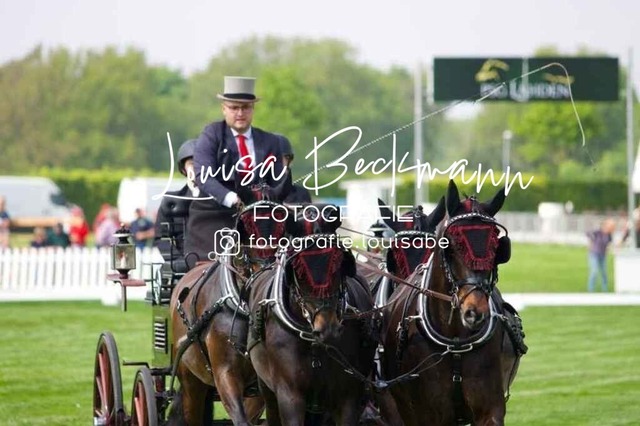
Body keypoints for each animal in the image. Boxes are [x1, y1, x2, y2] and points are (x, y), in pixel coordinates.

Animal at [246, 208, 378, 425]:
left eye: (338, 264)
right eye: (298, 269)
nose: (328, 329)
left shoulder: (347, 396)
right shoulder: (289, 395)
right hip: (267, 388)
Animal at [380, 180, 527, 426]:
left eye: (496, 247)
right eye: (450, 244)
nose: (474, 312)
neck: (455, 343)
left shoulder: (490, 409)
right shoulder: (424, 413)